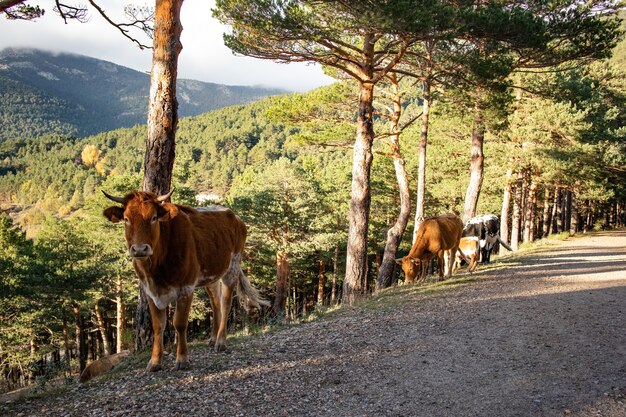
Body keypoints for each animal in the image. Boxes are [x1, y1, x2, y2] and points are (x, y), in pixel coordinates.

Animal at [103, 189, 268, 370]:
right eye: (126, 219)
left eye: (154, 217)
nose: (140, 249)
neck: (156, 269)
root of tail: (234, 216)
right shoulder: (149, 291)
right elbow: (158, 326)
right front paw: (155, 361)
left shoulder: (186, 288)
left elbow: (180, 323)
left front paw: (182, 359)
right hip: (211, 276)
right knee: (215, 303)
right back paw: (213, 338)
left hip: (232, 266)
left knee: (225, 303)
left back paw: (221, 341)